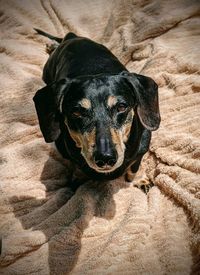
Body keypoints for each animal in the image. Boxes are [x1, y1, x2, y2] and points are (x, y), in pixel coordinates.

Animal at [33, 29, 161, 191]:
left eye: (121, 107)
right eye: (76, 111)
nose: (105, 158)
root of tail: (72, 37)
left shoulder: (142, 145)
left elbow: (134, 166)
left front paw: (140, 180)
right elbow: (76, 166)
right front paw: (78, 178)